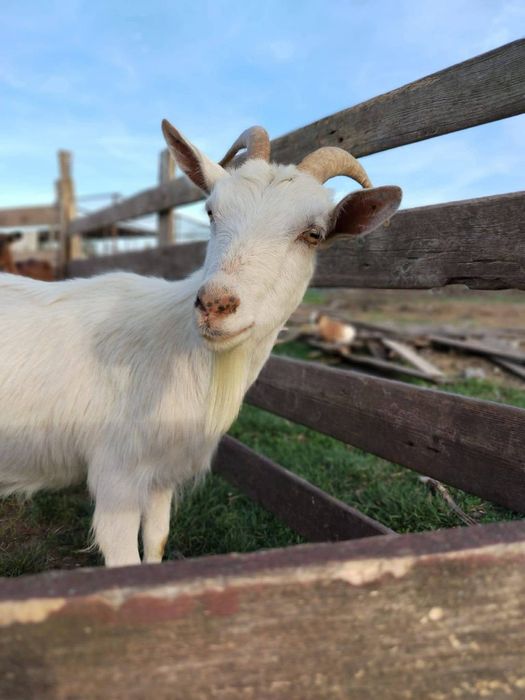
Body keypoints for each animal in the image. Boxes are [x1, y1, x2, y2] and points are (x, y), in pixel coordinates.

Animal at [0, 122, 401, 567]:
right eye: (211, 212)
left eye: (313, 234)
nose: (216, 304)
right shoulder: (117, 478)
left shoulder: (160, 475)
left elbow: (156, 542)